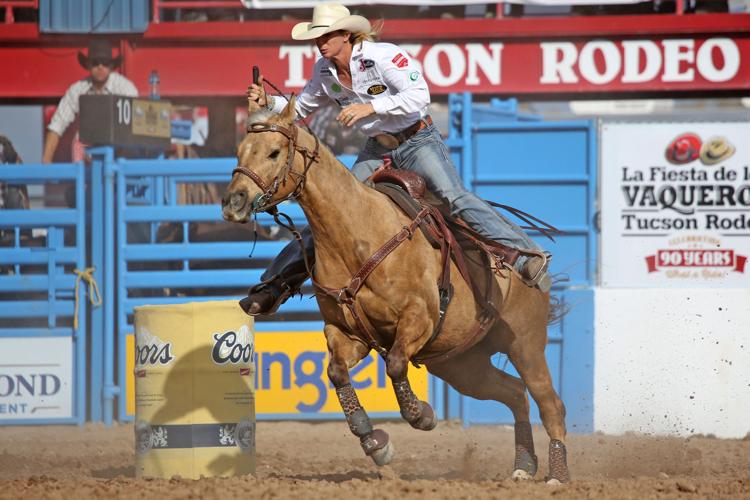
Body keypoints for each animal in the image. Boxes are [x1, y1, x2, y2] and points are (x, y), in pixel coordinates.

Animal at [222, 97, 568, 484]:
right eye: (241, 149)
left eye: (274, 151)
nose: (233, 201)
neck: (358, 235)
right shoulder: (345, 333)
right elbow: (337, 372)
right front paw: (374, 442)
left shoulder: (419, 318)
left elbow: (396, 364)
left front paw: (421, 415)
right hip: (462, 366)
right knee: (515, 393)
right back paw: (523, 465)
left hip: (525, 344)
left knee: (549, 402)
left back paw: (557, 474)